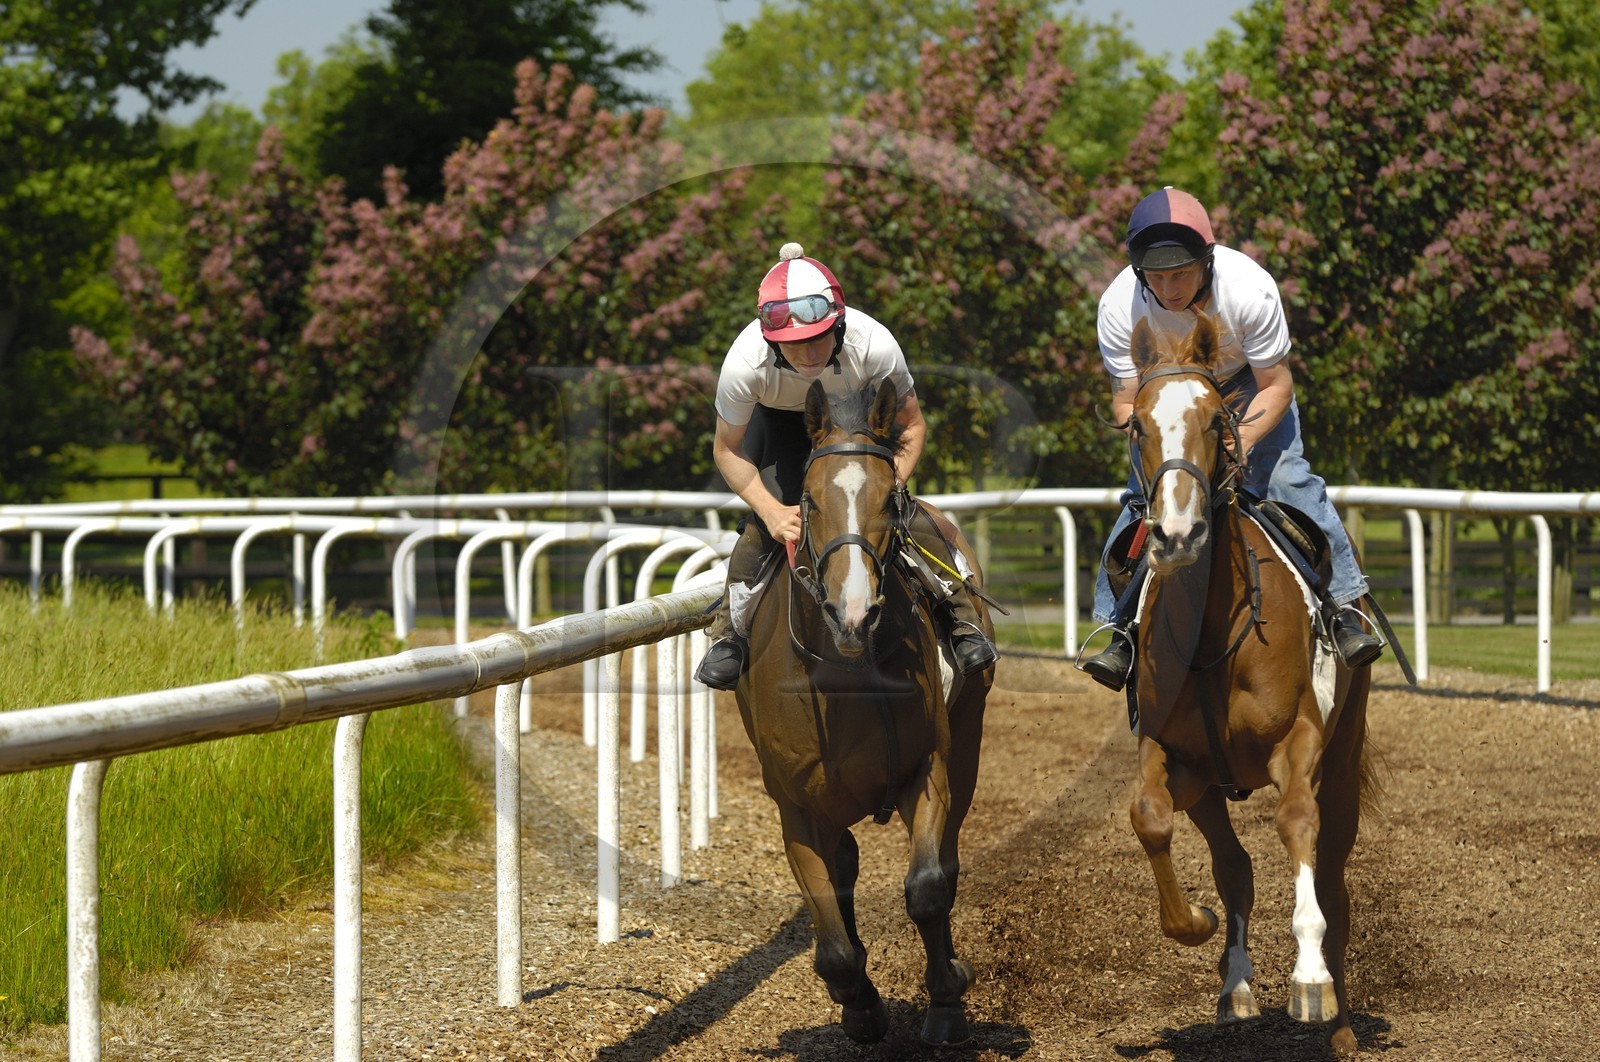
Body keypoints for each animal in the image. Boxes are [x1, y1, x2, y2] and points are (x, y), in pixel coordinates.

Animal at [733, 376, 995, 1046]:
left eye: (888, 502)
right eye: (809, 502)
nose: (853, 613)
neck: (848, 674)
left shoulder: (925, 769)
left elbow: (928, 888)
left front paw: (947, 1000)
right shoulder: (796, 805)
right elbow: (830, 946)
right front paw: (861, 1007)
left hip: (969, 736)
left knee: (948, 858)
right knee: (845, 866)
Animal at [1118, 313, 1374, 1058]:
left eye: (1214, 419)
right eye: (1139, 424)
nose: (1178, 532)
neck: (1212, 638)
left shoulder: (1302, 740)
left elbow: (1296, 825)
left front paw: (1311, 983)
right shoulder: (1173, 754)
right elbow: (1151, 819)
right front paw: (1198, 925)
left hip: (1345, 754)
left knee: (1333, 874)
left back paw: (1340, 1026)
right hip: (1211, 786)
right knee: (1235, 866)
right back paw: (1234, 987)